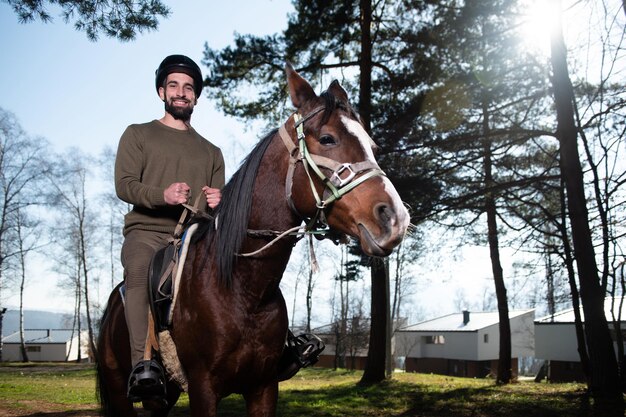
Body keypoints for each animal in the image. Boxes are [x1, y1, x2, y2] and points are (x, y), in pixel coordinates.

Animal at [96, 63, 410, 414]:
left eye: (373, 147)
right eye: (327, 138)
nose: (394, 218)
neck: (242, 287)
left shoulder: (263, 387)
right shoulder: (203, 390)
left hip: (163, 398)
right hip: (121, 389)